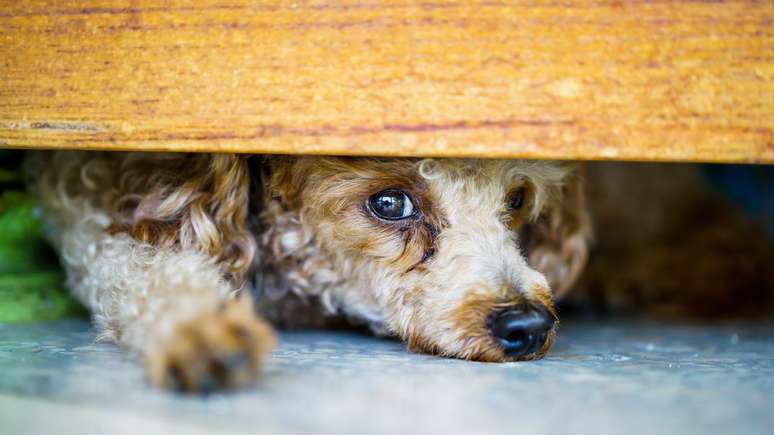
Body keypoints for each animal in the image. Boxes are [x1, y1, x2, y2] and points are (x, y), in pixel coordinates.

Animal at [27, 152, 592, 392]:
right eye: (390, 203)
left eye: (516, 199)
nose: (528, 326)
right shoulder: (88, 222)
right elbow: (138, 270)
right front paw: (200, 330)